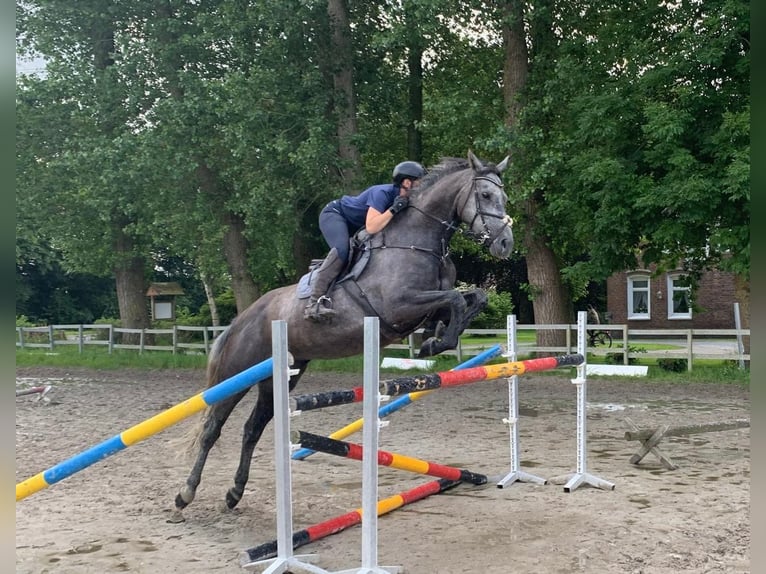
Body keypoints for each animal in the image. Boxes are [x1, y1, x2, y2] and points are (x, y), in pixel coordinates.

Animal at [174, 151, 516, 520]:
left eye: (504, 197)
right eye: (485, 195)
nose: (505, 244)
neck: (417, 240)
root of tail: (243, 318)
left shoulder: (425, 305)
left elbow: (471, 298)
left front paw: (435, 338)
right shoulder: (399, 306)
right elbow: (454, 298)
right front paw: (434, 343)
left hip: (282, 374)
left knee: (253, 427)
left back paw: (234, 492)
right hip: (237, 372)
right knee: (212, 427)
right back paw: (185, 494)